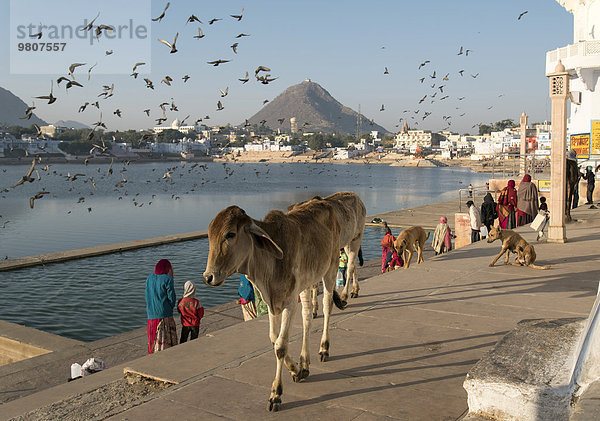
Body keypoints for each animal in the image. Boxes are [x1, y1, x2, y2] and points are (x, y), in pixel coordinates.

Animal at [203, 200, 346, 410]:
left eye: (230, 234)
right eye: (209, 235)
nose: (208, 277)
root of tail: (322, 201)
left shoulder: (289, 302)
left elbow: (280, 345)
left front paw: (276, 393)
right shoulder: (272, 303)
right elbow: (273, 338)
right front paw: (296, 370)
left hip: (331, 268)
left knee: (327, 307)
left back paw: (324, 348)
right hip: (305, 285)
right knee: (307, 318)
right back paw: (305, 362)